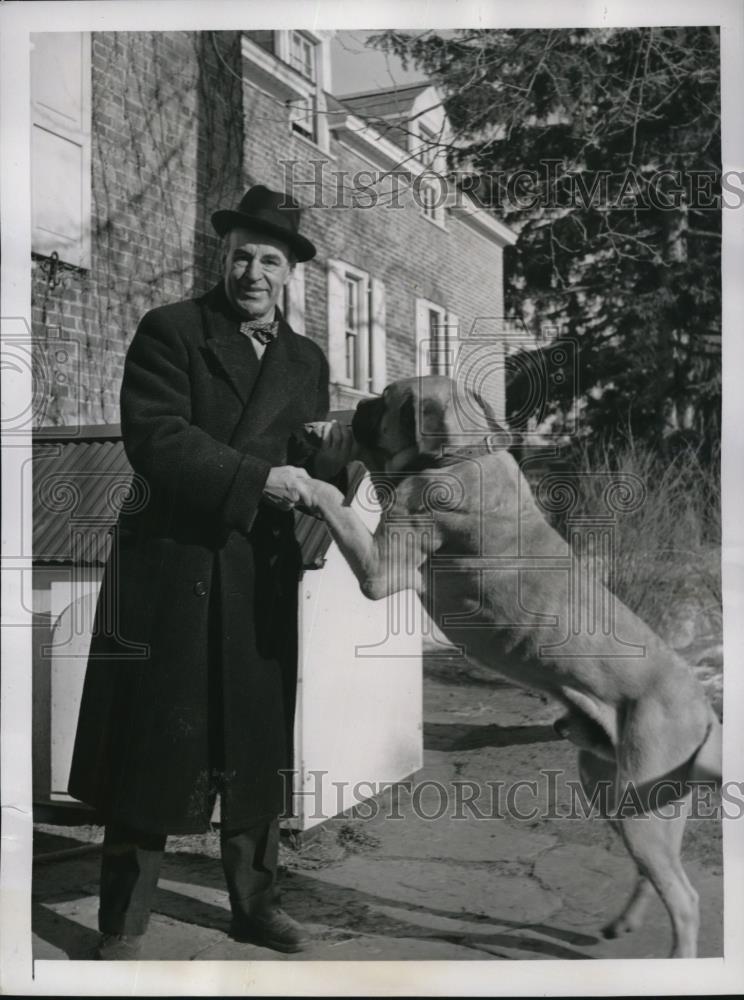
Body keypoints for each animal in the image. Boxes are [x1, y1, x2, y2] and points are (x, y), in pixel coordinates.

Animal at [306, 376, 720, 960]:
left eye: (385, 399)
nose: (360, 400)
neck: (462, 453)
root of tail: (705, 708)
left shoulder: (381, 569)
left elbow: (336, 505)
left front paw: (301, 480)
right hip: (620, 791)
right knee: (656, 872)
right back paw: (625, 922)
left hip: (641, 804)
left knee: (684, 897)